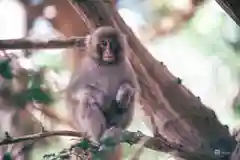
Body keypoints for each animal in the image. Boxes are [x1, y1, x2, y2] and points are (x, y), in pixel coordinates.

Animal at [66, 26, 139, 159]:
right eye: (104, 44)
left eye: (113, 44)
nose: (108, 52)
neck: (106, 64)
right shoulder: (85, 66)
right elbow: (73, 92)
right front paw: (102, 98)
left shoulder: (127, 65)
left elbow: (133, 90)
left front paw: (124, 91)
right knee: (87, 99)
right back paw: (99, 138)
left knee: (128, 103)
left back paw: (115, 129)